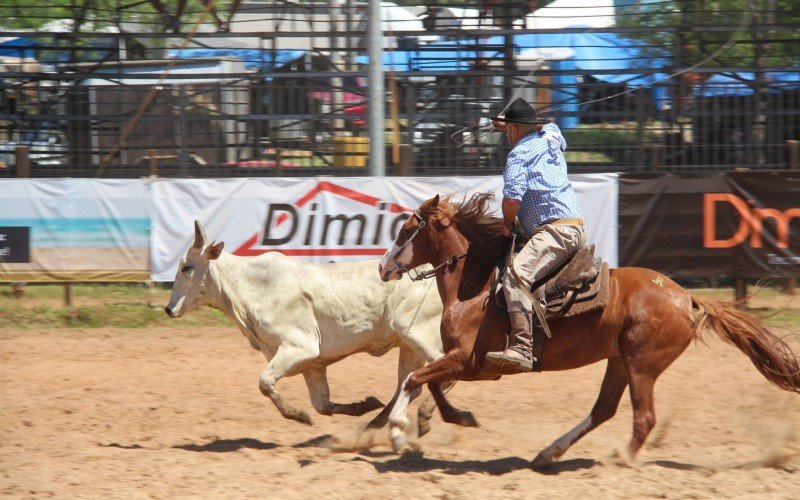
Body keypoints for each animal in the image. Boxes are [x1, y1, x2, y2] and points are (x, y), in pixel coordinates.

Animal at [164, 221, 450, 432]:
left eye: (187, 267)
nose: (168, 308)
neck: (251, 287)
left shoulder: (299, 347)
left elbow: (265, 382)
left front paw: (298, 415)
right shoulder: (313, 365)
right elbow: (321, 404)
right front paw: (363, 405)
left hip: (418, 333)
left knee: (442, 371)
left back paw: (424, 416)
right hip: (408, 345)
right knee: (410, 384)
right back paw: (377, 421)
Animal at [376, 193, 800, 466]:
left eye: (407, 230)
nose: (382, 267)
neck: (477, 289)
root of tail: (685, 297)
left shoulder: (469, 361)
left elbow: (416, 378)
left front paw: (400, 427)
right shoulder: (469, 365)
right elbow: (427, 382)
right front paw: (444, 419)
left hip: (642, 365)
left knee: (643, 417)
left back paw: (621, 458)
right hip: (619, 361)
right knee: (603, 411)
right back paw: (549, 453)